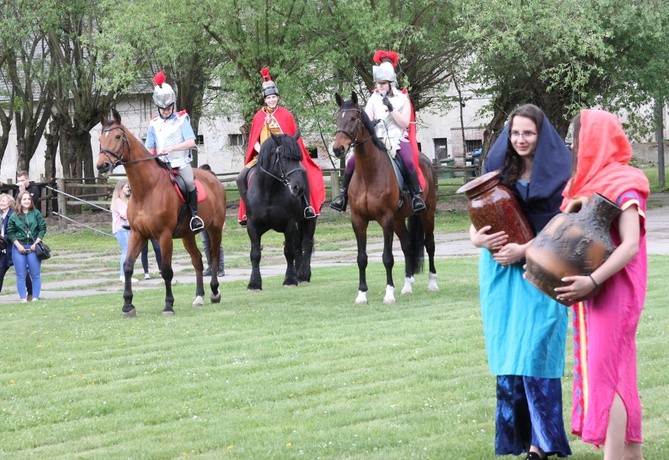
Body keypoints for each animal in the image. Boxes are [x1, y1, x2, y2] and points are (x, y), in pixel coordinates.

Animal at [96, 108, 227, 316]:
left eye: (117, 136)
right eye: (101, 138)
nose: (102, 166)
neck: (147, 189)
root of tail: (214, 179)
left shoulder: (164, 236)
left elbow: (166, 270)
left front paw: (168, 305)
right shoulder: (138, 233)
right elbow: (128, 266)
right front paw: (128, 305)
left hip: (214, 229)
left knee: (213, 256)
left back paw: (214, 292)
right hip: (187, 235)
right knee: (198, 260)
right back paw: (199, 296)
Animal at [236, 133, 318, 290]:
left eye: (298, 158)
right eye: (285, 158)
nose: (298, 187)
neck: (269, 191)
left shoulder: (289, 224)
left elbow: (289, 251)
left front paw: (290, 280)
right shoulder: (252, 226)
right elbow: (255, 253)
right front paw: (254, 283)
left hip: (308, 219)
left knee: (307, 243)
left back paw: (303, 274)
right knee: (298, 244)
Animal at [332, 91, 438, 304]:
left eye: (353, 118)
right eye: (338, 118)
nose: (338, 149)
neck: (368, 173)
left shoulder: (386, 219)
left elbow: (387, 257)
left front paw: (389, 293)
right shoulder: (358, 220)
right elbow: (361, 258)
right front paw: (362, 294)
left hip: (427, 213)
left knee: (429, 244)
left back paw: (432, 283)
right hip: (398, 219)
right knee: (407, 246)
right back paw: (407, 286)